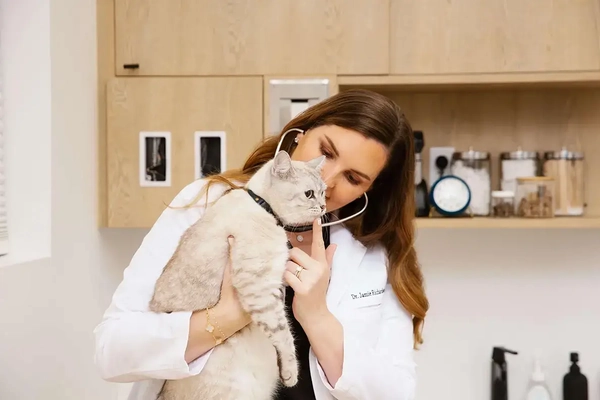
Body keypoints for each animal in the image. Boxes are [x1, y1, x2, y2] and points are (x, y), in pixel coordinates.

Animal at [150, 151, 328, 400]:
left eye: (324, 192)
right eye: (309, 194)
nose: (323, 206)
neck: (262, 207)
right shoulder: (260, 287)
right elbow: (283, 334)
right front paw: (290, 373)